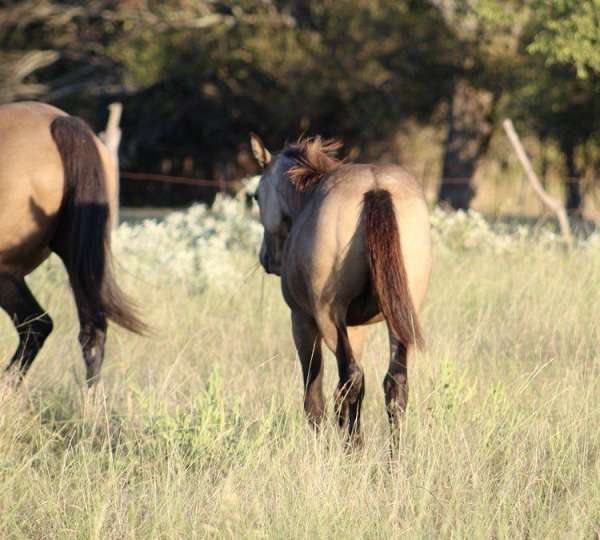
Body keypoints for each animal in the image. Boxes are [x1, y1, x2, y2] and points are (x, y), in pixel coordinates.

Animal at [250, 133, 432, 446]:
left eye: (256, 196)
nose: (266, 257)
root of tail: (375, 187)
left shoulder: (303, 321)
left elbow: (314, 396)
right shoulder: (355, 328)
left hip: (327, 316)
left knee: (352, 379)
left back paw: (353, 448)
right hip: (399, 319)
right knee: (394, 385)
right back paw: (393, 456)